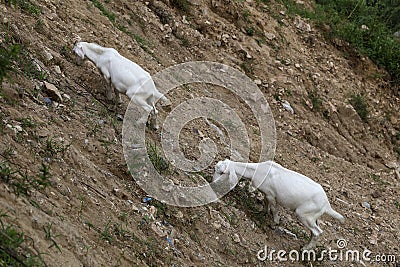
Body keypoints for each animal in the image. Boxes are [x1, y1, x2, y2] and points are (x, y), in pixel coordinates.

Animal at [212, 159, 344, 249]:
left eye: (222, 172)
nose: (212, 183)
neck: (258, 171)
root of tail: (326, 205)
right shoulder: (266, 193)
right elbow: (266, 204)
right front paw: (262, 213)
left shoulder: (271, 195)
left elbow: (274, 208)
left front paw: (274, 222)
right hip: (313, 217)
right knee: (314, 232)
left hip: (303, 214)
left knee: (317, 232)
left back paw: (305, 249)